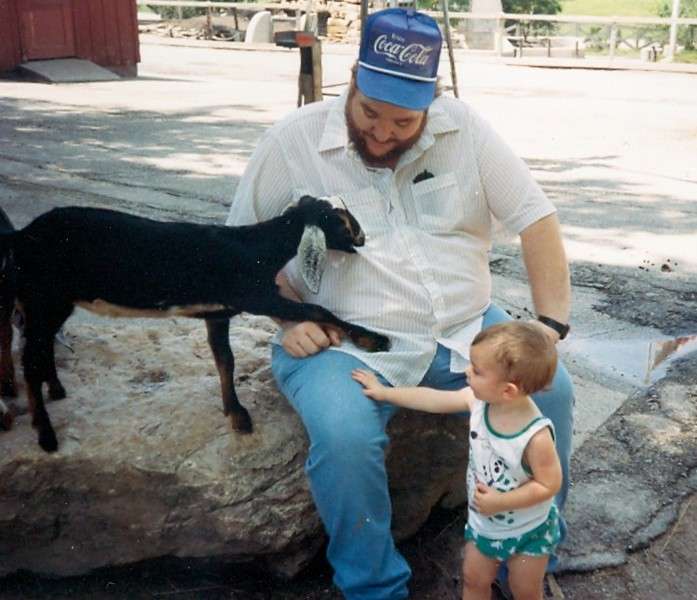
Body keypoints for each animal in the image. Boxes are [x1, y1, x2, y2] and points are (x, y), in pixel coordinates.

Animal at [0, 197, 390, 452]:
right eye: (341, 221)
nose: (364, 237)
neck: (256, 247)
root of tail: (20, 237)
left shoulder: (217, 313)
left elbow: (225, 361)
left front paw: (236, 414)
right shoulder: (255, 295)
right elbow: (318, 309)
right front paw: (373, 339)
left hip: (51, 302)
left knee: (40, 349)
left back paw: (55, 389)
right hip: (44, 297)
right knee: (29, 360)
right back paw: (45, 434)